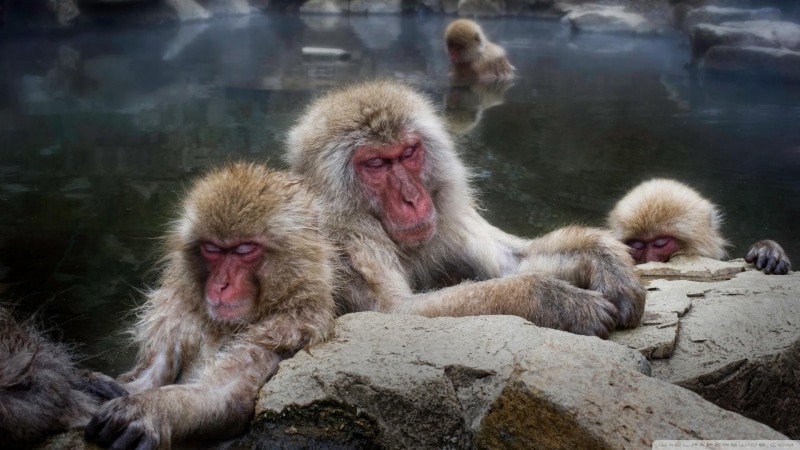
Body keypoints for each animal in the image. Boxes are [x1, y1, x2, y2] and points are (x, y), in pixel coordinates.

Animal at [84, 162, 337, 450]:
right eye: (212, 249)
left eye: (244, 249)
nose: (220, 285)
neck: (225, 326)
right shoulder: (176, 314)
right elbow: (149, 375)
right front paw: (105, 386)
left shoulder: (289, 328)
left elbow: (226, 396)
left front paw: (151, 409)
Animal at [285, 80, 646, 339]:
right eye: (375, 164)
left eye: (408, 153)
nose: (411, 199)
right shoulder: (343, 237)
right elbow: (396, 314)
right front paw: (554, 300)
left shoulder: (447, 215)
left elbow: (511, 261)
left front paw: (607, 260)